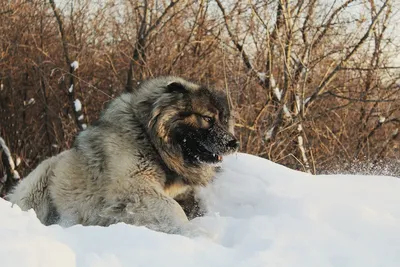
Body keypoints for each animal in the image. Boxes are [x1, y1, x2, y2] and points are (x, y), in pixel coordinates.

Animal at [7, 76, 239, 238]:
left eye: (224, 120)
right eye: (207, 118)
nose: (234, 143)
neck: (148, 137)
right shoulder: (135, 188)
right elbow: (172, 209)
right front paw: (197, 234)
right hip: (40, 183)